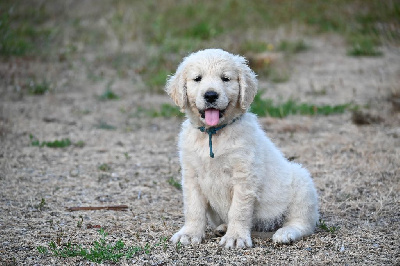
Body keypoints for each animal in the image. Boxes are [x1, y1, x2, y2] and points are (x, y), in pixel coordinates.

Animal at [166, 48, 318, 248]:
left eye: (225, 78)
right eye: (197, 78)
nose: (210, 95)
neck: (214, 134)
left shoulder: (244, 175)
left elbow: (238, 210)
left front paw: (236, 237)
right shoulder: (191, 175)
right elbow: (193, 208)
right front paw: (190, 233)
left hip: (302, 183)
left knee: (303, 223)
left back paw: (285, 233)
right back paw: (223, 227)